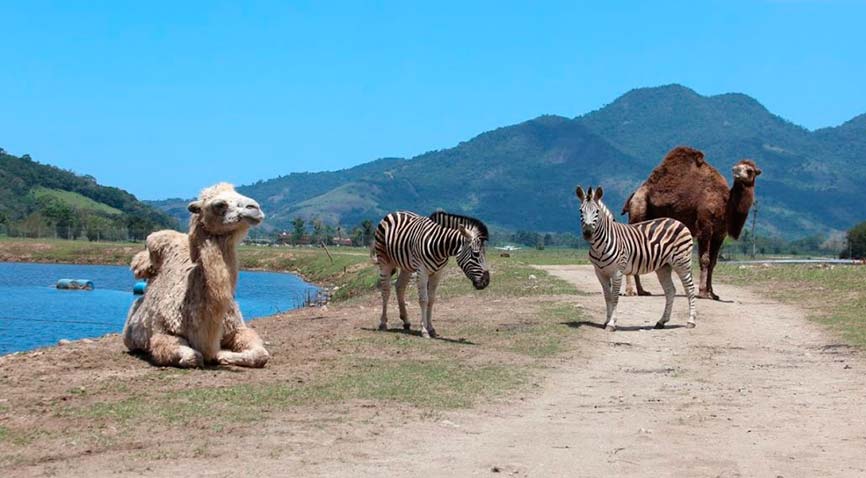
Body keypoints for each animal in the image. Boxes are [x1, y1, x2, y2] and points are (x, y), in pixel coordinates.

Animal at [121, 182, 268, 366]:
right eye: (219, 204)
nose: (255, 208)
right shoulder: (163, 332)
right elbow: (192, 357)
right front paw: (216, 355)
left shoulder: (237, 328)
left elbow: (261, 354)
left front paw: (223, 355)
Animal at [572, 185, 696, 330]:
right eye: (581, 211)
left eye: (597, 211)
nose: (588, 233)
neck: (600, 246)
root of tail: (679, 222)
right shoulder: (600, 273)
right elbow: (607, 297)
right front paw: (606, 321)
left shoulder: (617, 272)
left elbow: (615, 297)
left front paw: (612, 323)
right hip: (664, 267)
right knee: (670, 291)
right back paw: (661, 322)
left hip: (682, 262)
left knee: (690, 289)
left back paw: (691, 321)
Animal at [620, 146, 756, 298]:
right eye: (737, 167)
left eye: (750, 170)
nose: (736, 171)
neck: (725, 204)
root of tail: (633, 195)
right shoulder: (704, 226)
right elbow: (705, 260)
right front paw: (702, 292)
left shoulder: (720, 234)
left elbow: (713, 262)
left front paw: (712, 293)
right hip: (638, 209)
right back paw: (630, 291)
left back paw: (641, 290)